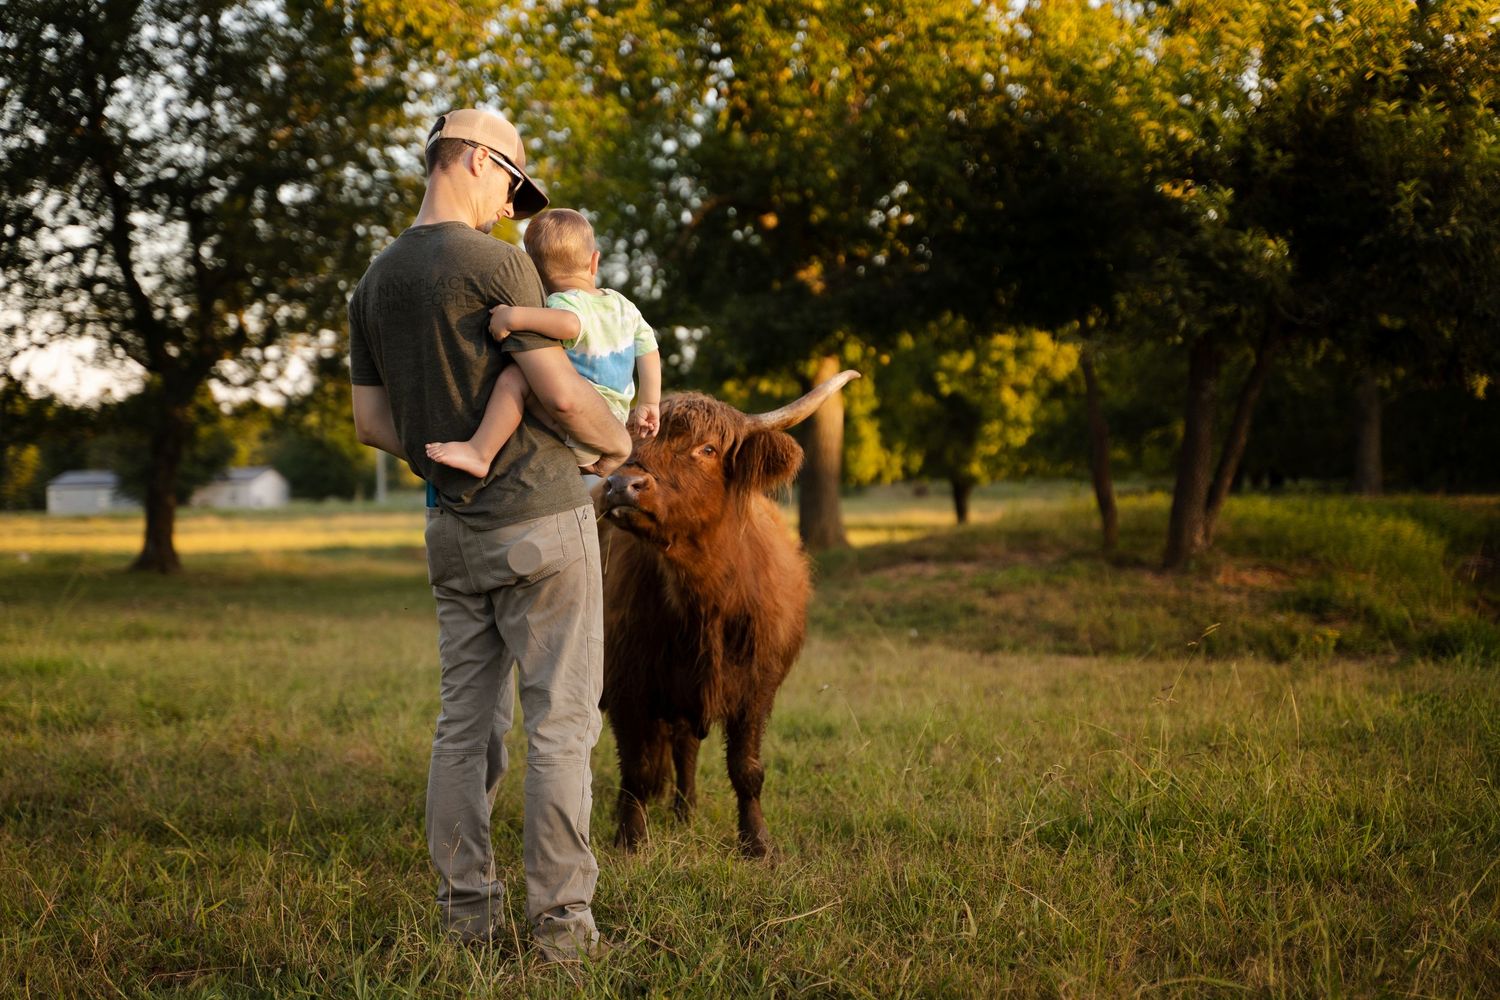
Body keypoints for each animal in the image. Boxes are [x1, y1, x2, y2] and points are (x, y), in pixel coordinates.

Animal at [594, 368, 861, 858]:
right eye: (629, 441)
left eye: (707, 449)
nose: (621, 486)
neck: (705, 603)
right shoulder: (626, 683)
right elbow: (636, 770)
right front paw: (630, 841)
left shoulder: (757, 686)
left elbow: (746, 768)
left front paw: (757, 843)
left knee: (684, 747)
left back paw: (686, 811)